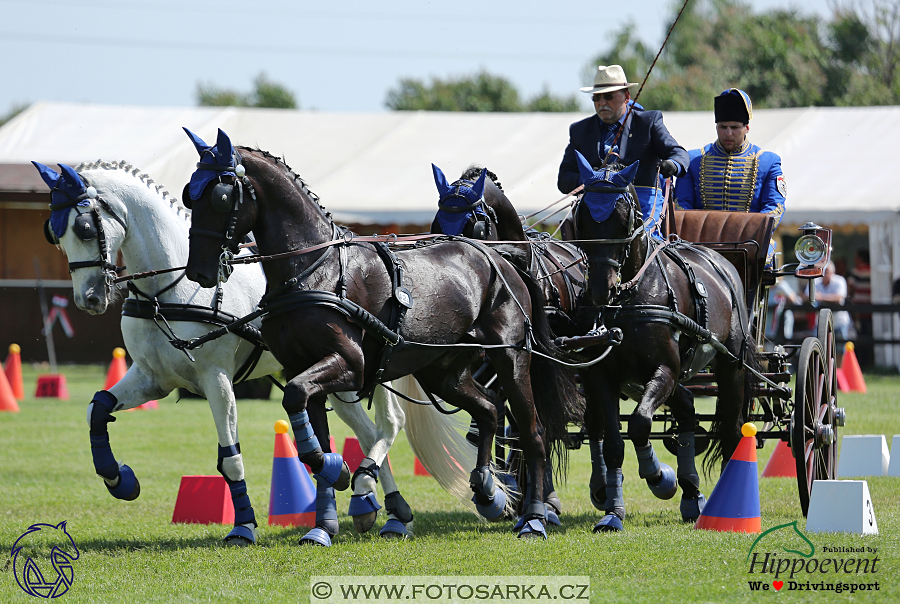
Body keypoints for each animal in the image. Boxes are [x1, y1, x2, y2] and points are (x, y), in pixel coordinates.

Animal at [33, 160, 486, 548]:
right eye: (54, 233)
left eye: (85, 227)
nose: (90, 298)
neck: (172, 289)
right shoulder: (152, 378)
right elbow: (97, 407)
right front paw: (118, 479)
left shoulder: (216, 380)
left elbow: (230, 458)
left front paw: (244, 526)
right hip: (337, 383)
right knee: (367, 434)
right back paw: (378, 506)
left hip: (368, 373)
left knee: (387, 426)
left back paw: (382, 505)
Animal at [181, 130, 584, 540]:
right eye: (188, 195)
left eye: (220, 196)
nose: (198, 271)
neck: (313, 270)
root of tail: (502, 256)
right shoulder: (302, 368)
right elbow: (311, 433)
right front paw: (324, 520)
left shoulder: (349, 363)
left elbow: (296, 400)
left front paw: (339, 471)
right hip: (442, 371)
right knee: (487, 411)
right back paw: (488, 490)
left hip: (510, 357)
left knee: (533, 433)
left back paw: (534, 516)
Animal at [568, 152, 752, 532]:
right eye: (582, 219)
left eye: (624, 219)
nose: (601, 289)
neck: (630, 297)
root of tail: (721, 260)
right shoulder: (602, 376)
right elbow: (614, 443)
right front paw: (614, 511)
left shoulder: (665, 368)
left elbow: (639, 424)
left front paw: (658, 477)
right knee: (686, 410)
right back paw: (691, 492)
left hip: (730, 366)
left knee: (730, 430)